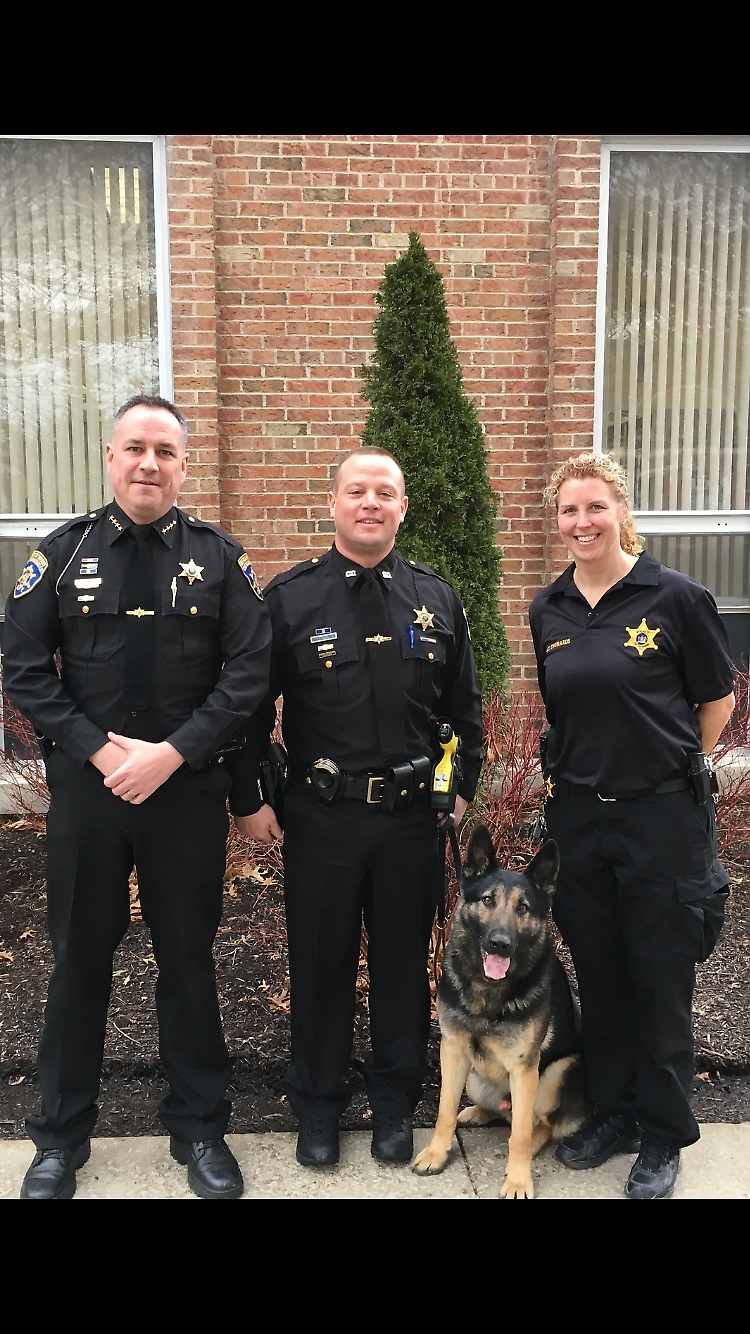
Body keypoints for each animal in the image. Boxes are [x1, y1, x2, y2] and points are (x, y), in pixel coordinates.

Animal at [411, 821, 587, 1200]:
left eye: (523, 908)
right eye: (488, 900)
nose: (499, 944)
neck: (488, 991)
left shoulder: (525, 1069)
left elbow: (518, 1135)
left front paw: (518, 1181)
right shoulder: (452, 1050)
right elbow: (444, 1110)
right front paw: (436, 1152)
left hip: (554, 1074)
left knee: (537, 1125)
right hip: (475, 1079)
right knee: (501, 1112)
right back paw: (477, 1112)